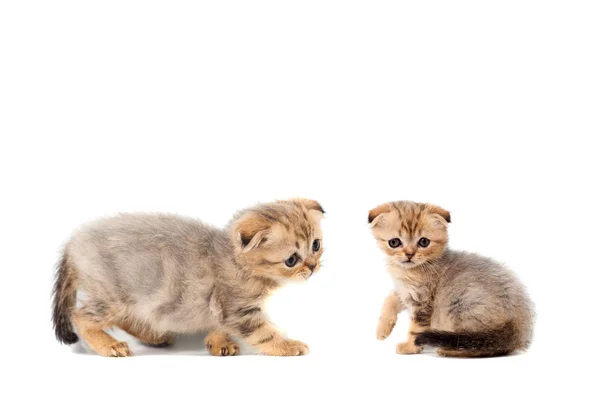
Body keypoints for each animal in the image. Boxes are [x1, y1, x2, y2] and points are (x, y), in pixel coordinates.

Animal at [51, 198, 324, 358]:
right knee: (81, 317)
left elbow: (218, 325)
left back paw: (154, 337)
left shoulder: (219, 308)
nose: (312, 267)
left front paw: (219, 343)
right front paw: (288, 346)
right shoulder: (238, 310)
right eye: (291, 259)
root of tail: (72, 244)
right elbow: (264, 333)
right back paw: (109, 345)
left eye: (316, 245)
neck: (233, 258)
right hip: (112, 295)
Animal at [370, 202, 536, 358]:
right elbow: (390, 299)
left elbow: (415, 329)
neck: (409, 271)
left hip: (460, 306)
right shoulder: (405, 291)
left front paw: (410, 347)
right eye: (394, 242)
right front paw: (382, 329)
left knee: (478, 345)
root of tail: (517, 325)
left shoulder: (423, 301)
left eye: (424, 242)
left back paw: (448, 350)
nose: (409, 255)